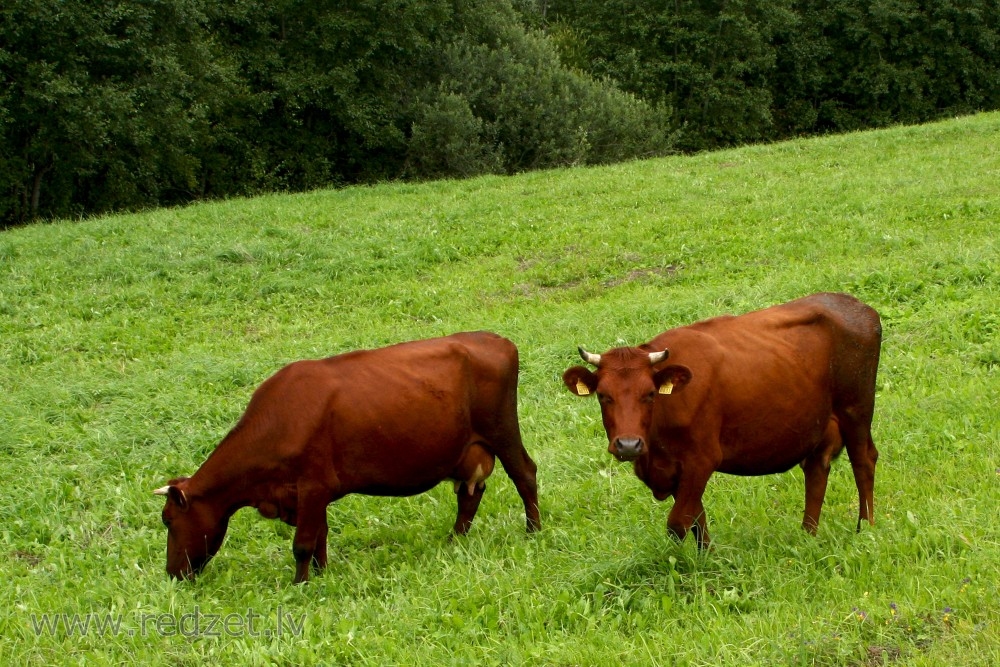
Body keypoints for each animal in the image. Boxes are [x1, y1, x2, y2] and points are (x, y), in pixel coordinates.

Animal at [153, 332, 540, 580]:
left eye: (168, 520)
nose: (173, 574)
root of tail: (497, 339)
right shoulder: (311, 494)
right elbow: (319, 536)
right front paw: (322, 575)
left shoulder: (312, 485)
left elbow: (303, 543)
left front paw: (300, 584)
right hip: (467, 450)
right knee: (470, 494)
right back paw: (454, 541)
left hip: (502, 430)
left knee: (525, 474)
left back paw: (533, 531)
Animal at [564, 294, 884, 552]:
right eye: (603, 396)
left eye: (650, 394)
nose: (628, 445)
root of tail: (857, 305)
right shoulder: (677, 469)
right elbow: (696, 517)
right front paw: (707, 558)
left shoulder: (702, 458)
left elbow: (678, 522)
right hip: (816, 423)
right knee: (816, 471)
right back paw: (808, 535)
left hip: (856, 408)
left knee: (863, 461)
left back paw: (866, 528)